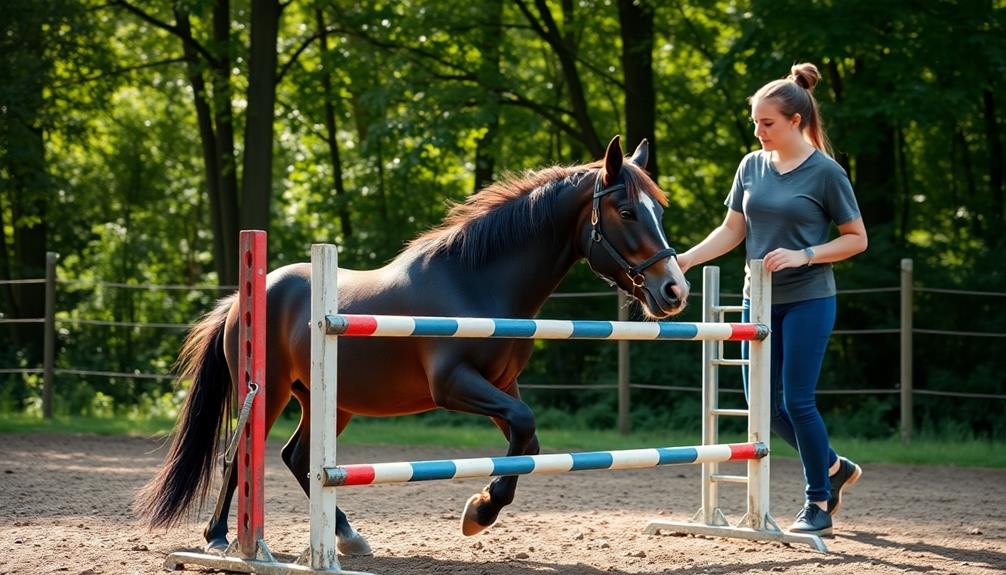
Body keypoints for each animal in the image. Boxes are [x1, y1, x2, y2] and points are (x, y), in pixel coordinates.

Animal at [135, 135, 692, 558]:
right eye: (626, 211)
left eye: (658, 211)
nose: (674, 290)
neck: (474, 282)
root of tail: (247, 295)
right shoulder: (454, 385)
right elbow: (525, 426)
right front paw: (479, 512)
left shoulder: (501, 385)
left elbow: (526, 440)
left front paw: (483, 507)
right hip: (266, 394)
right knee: (238, 458)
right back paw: (220, 539)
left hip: (329, 402)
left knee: (297, 457)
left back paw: (347, 537)